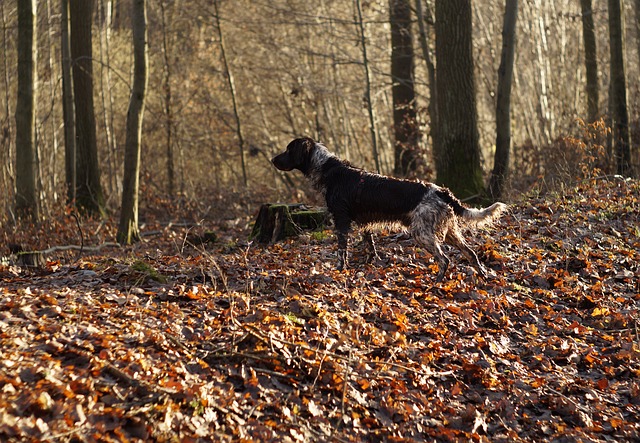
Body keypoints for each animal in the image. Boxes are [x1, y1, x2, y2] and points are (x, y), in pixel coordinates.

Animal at [272, 137, 508, 280]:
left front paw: (340, 270)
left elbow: (342, 251)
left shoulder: (341, 220)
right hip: (450, 232)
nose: (272, 159)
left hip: (421, 233)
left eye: (288, 149)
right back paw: (484, 275)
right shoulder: (364, 224)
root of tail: (440, 190)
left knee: (445, 259)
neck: (329, 170)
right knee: (471, 253)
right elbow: (370, 248)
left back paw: (437, 281)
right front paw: (367, 266)